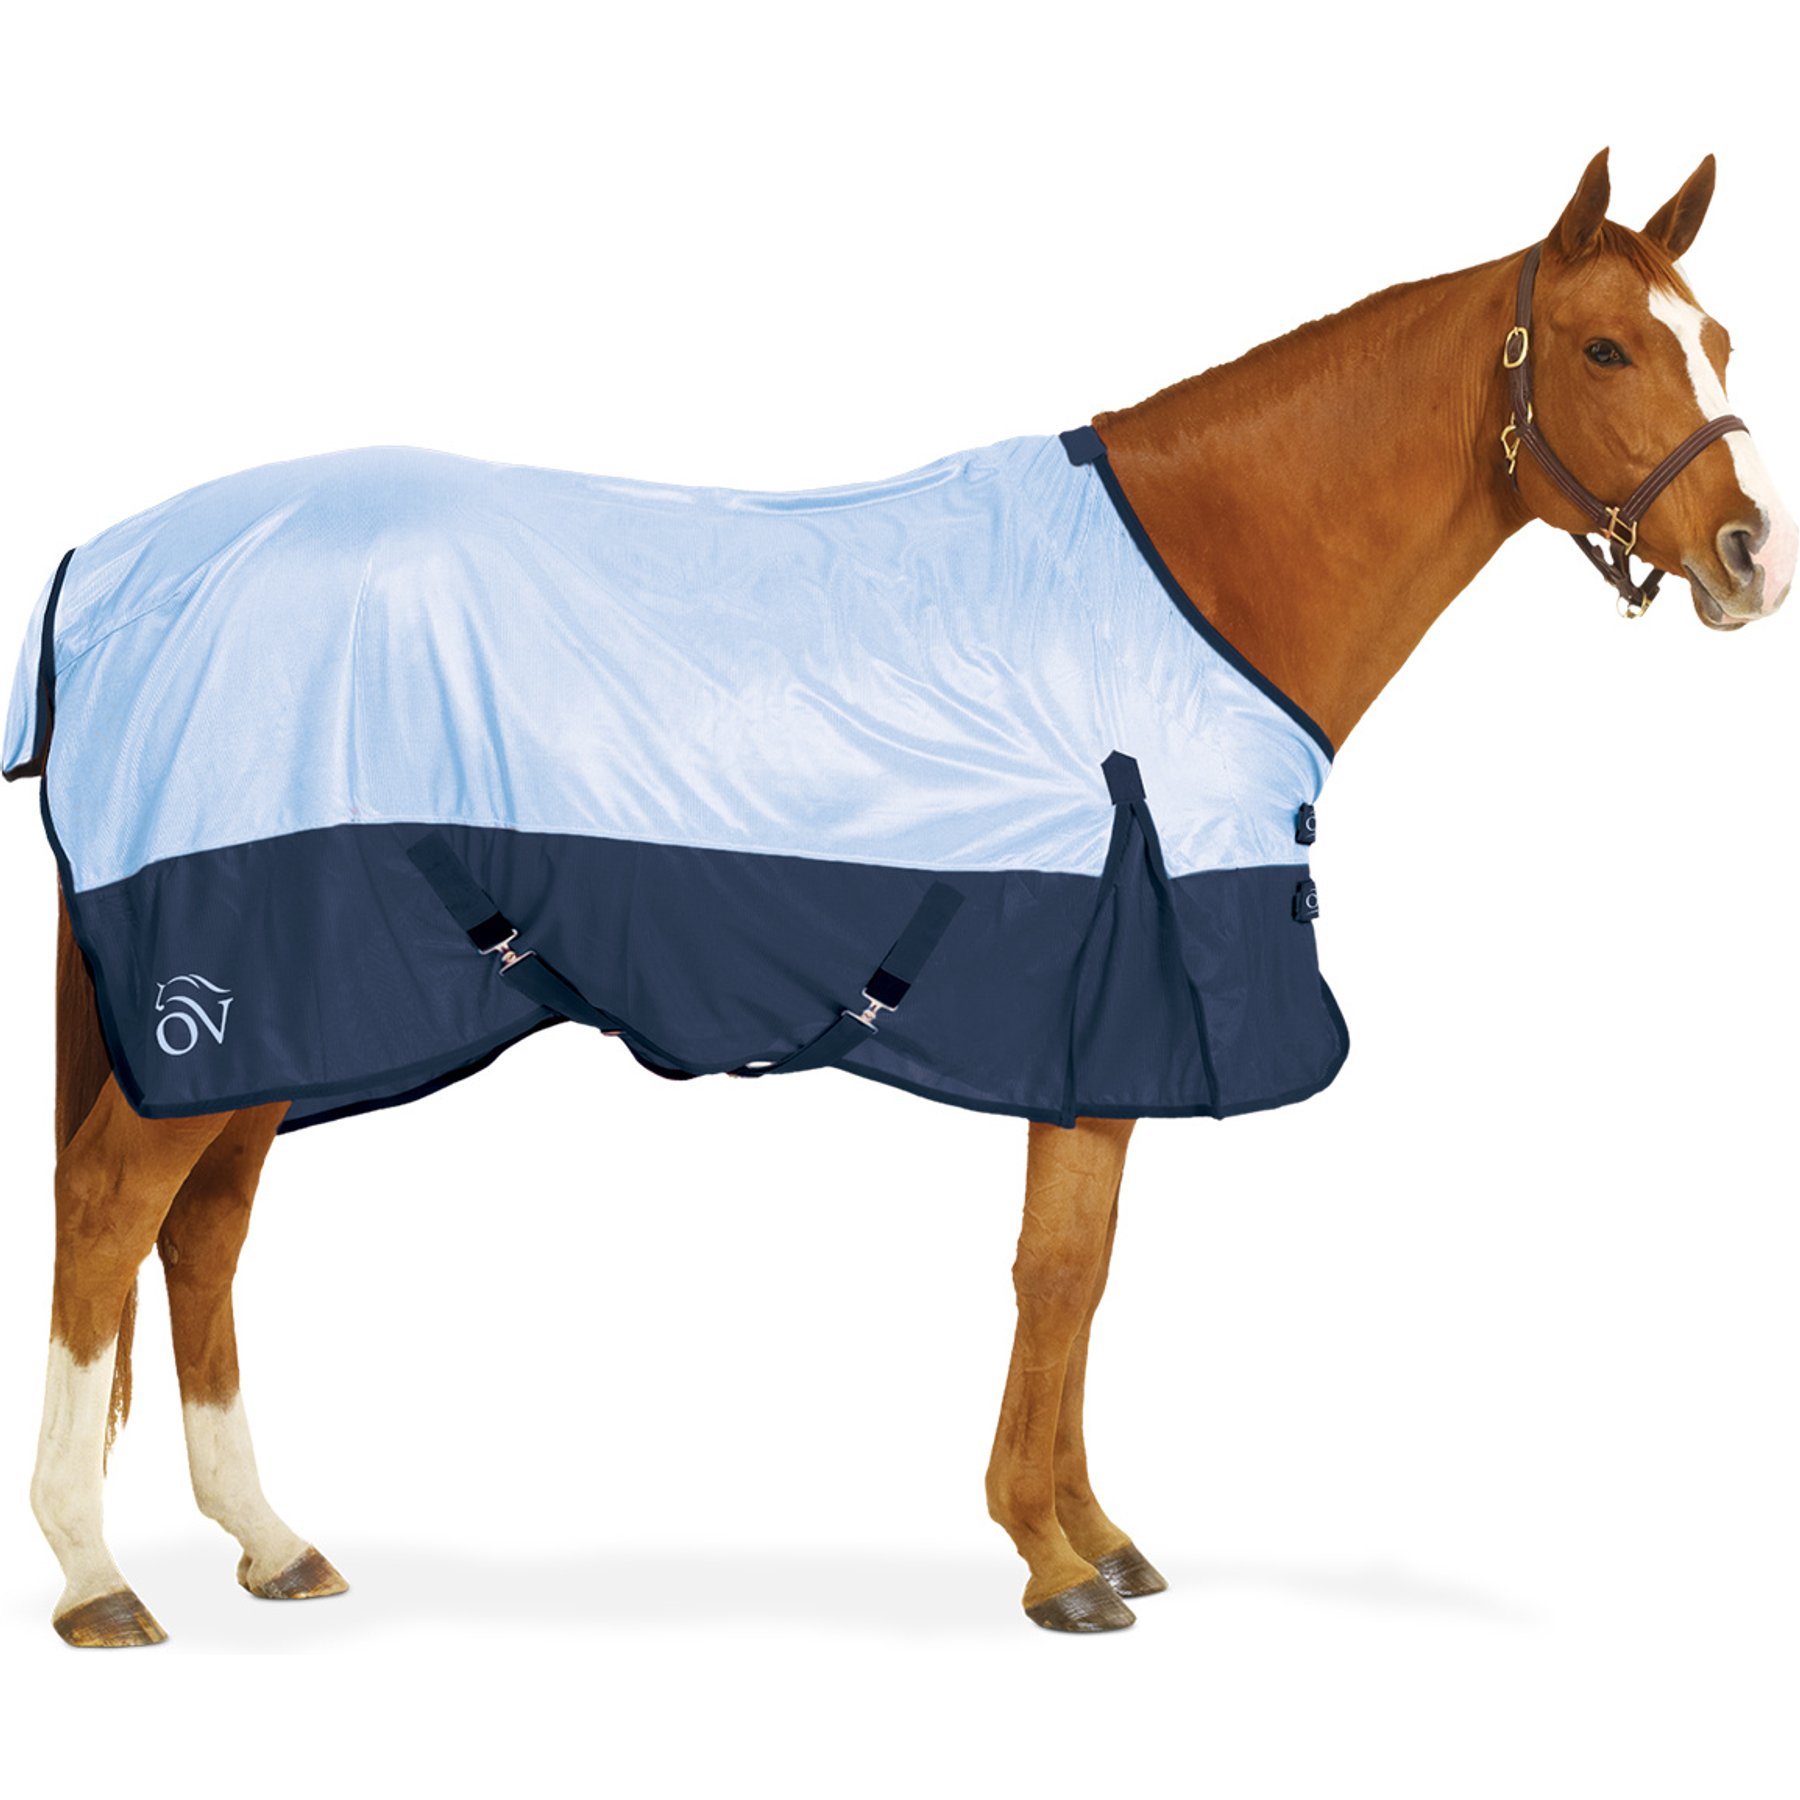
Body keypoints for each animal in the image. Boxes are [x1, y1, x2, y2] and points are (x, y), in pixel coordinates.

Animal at [14, 149, 1790, 1646]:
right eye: (1608, 351)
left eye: (1717, 335)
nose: (1752, 561)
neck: (1198, 581)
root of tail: (110, 576)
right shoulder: (1104, 1002)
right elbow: (1058, 1273)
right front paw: (1056, 1561)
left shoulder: (1101, 1032)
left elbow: (1085, 1266)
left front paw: (1095, 1533)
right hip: (231, 984)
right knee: (109, 1210)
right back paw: (95, 1576)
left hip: (288, 1000)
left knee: (207, 1230)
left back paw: (269, 1542)